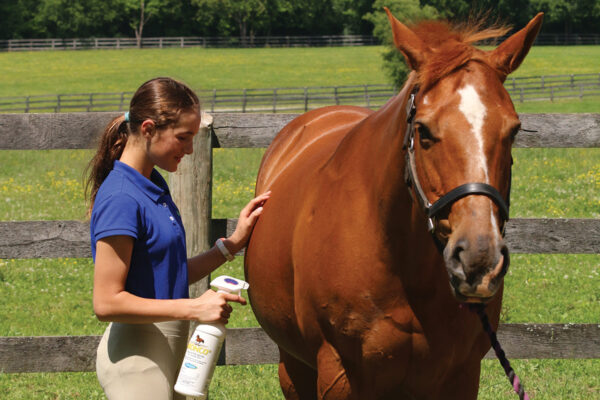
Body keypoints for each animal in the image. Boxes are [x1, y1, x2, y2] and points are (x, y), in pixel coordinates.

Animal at [244, 9, 544, 400]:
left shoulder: (461, 375)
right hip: (293, 366)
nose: (478, 259)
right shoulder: (338, 375)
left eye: (513, 131)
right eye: (424, 131)